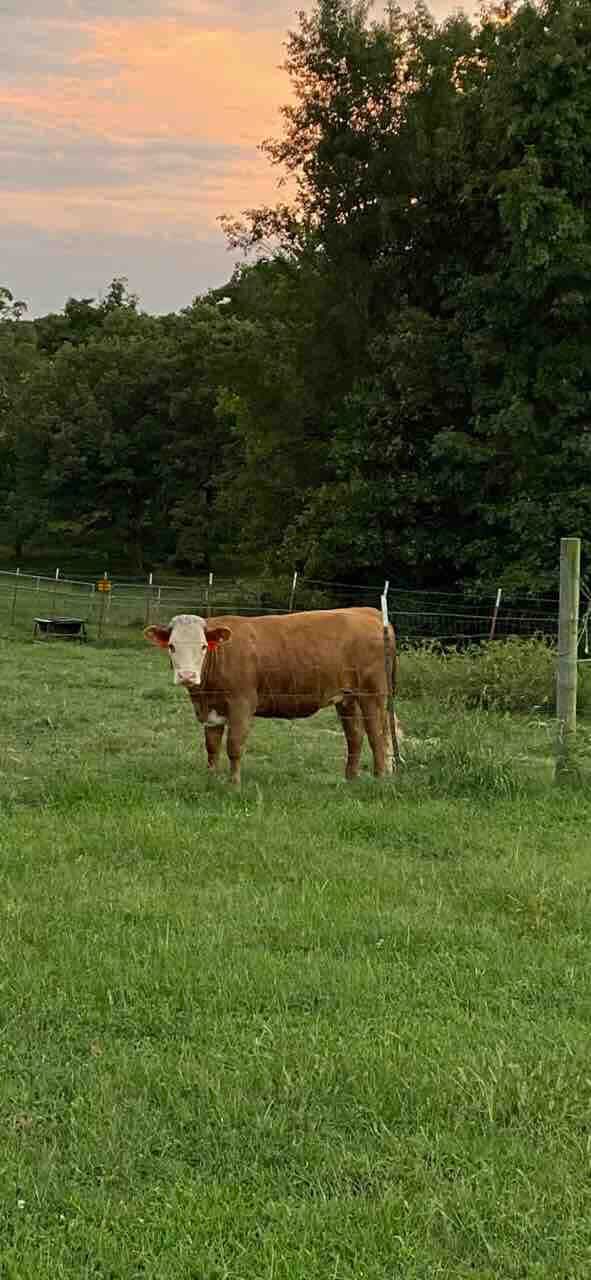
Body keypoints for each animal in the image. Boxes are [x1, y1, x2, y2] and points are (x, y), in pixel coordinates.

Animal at [145, 607, 401, 786]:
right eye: (172, 646)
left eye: (203, 646)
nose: (187, 676)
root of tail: (369, 612)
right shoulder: (211, 709)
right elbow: (212, 747)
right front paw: (211, 778)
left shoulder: (242, 703)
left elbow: (234, 745)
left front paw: (233, 784)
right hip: (346, 698)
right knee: (355, 737)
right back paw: (350, 779)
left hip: (372, 694)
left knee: (377, 736)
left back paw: (378, 779)